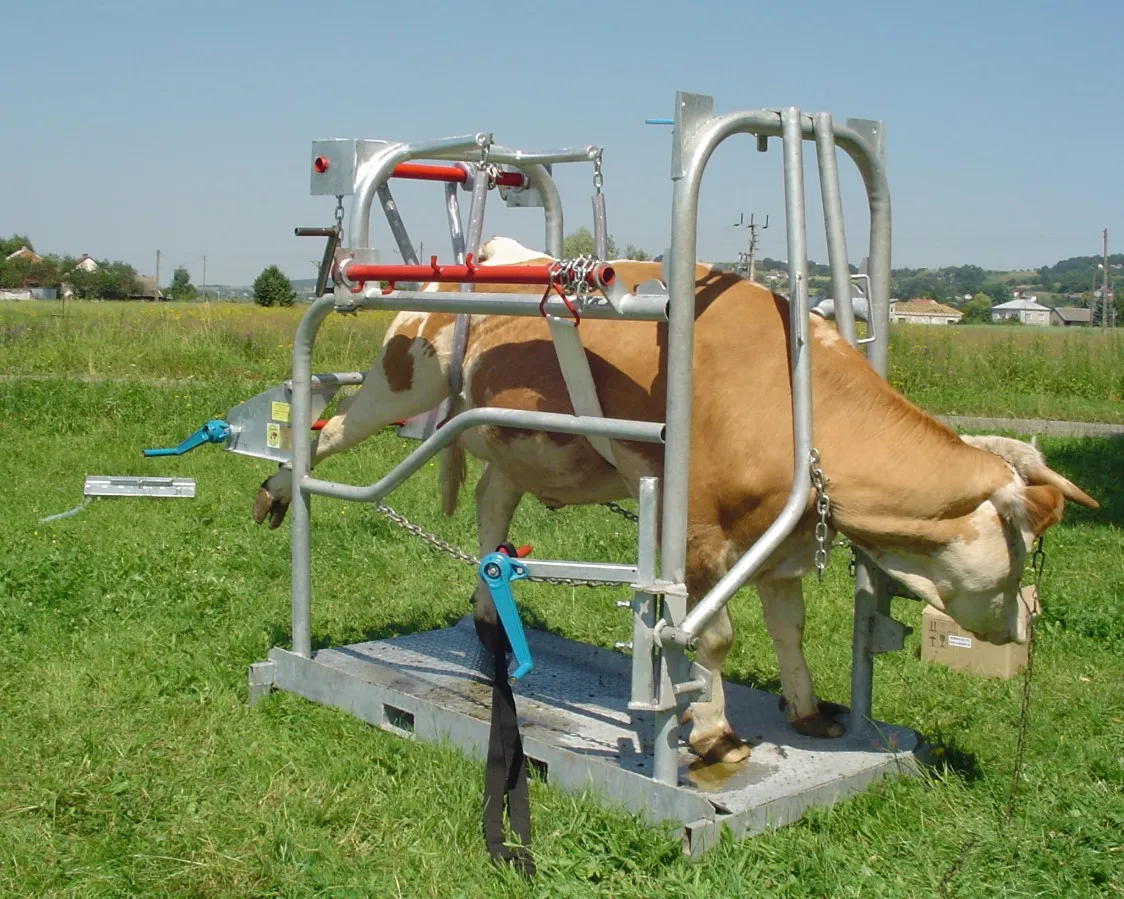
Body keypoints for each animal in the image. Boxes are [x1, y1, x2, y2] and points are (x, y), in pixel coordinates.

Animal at [252, 236, 1098, 765]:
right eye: (1017, 558)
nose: (1023, 626)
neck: (794, 398)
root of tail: (487, 256)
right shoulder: (695, 531)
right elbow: (714, 637)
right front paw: (715, 732)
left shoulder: (782, 533)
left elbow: (788, 627)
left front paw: (807, 709)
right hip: (404, 381)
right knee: (325, 434)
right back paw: (277, 491)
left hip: (513, 438)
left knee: (493, 509)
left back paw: (492, 626)